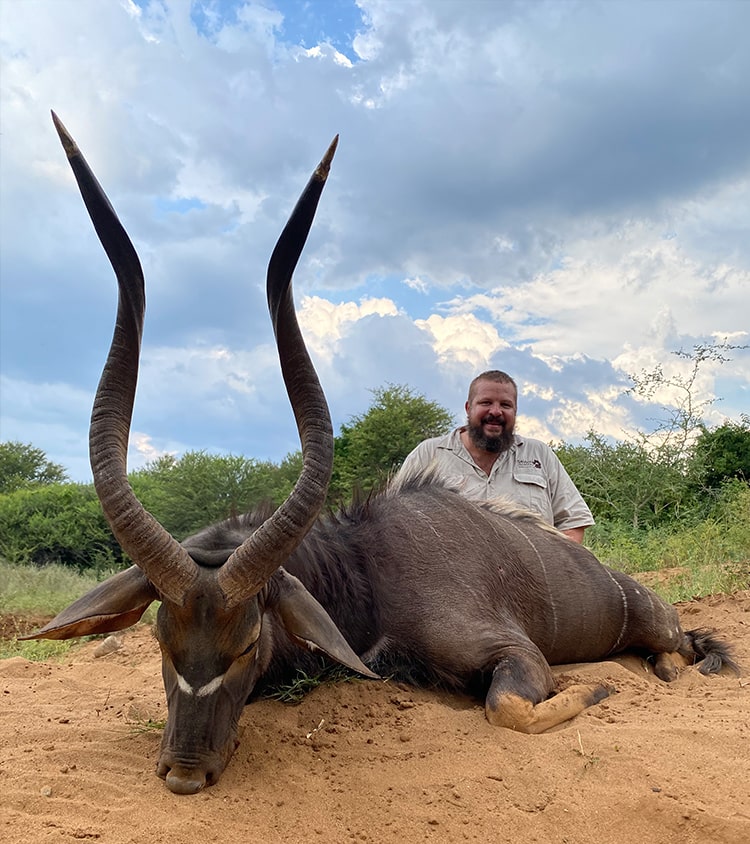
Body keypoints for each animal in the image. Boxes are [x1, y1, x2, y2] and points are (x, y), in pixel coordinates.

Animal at [24, 113, 737, 795]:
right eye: (160, 638)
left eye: (249, 642)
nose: (184, 772)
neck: (363, 572)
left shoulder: (518, 655)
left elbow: (508, 709)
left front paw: (599, 685)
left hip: (651, 621)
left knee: (679, 643)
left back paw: (668, 666)